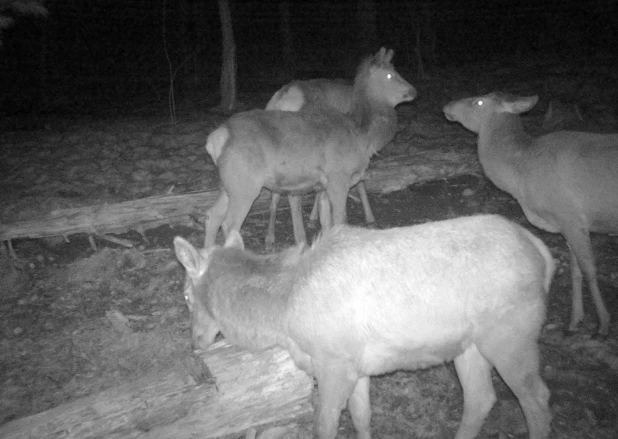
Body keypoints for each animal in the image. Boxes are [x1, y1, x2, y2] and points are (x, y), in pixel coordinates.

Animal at [174, 214, 552, 439]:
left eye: (186, 296)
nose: (195, 342)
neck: (283, 315)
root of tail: (545, 256)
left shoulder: (334, 364)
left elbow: (324, 426)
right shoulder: (356, 365)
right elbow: (362, 416)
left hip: (512, 335)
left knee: (536, 396)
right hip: (469, 345)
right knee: (480, 398)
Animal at [202, 49, 414, 248]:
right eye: (390, 75)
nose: (413, 90)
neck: (363, 135)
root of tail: (216, 139)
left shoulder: (324, 184)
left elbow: (327, 223)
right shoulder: (338, 177)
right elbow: (341, 220)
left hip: (230, 182)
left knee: (213, 215)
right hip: (245, 184)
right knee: (230, 223)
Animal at [442, 90, 616, 336]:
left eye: (479, 101)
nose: (447, 106)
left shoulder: (570, 215)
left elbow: (589, 270)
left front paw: (603, 324)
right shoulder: (568, 224)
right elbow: (576, 271)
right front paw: (574, 322)